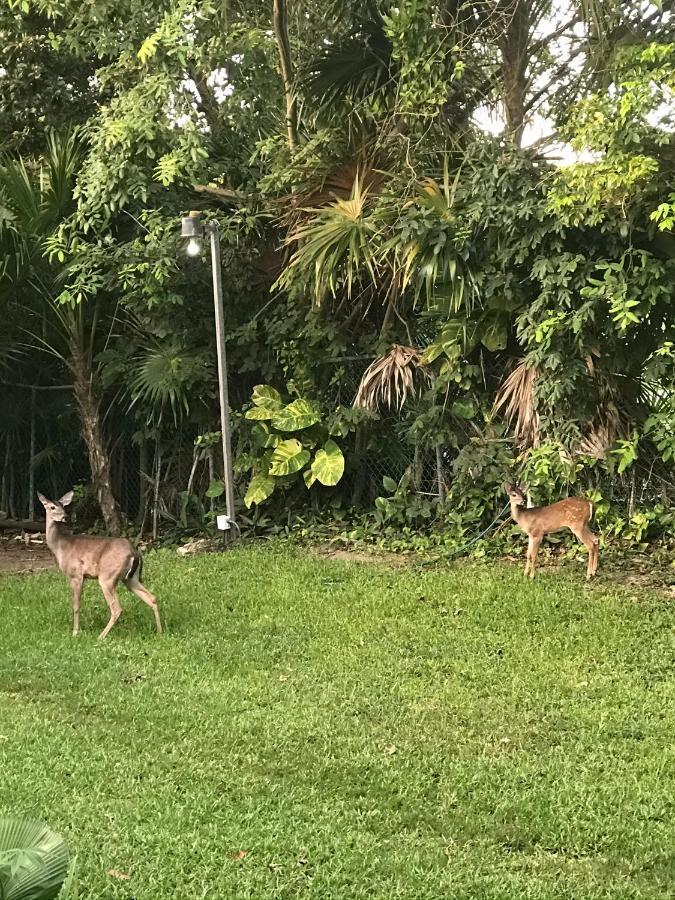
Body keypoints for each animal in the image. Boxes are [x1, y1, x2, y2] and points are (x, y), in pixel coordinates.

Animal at [37, 492, 162, 640]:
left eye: (63, 506)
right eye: (52, 507)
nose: (65, 517)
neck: (60, 546)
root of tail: (134, 553)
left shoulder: (76, 574)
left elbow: (76, 605)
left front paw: (75, 632)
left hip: (107, 577)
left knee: (116, 608)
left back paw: (101, 636)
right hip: (131, 578)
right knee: (152, 598)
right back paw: (160, 632)